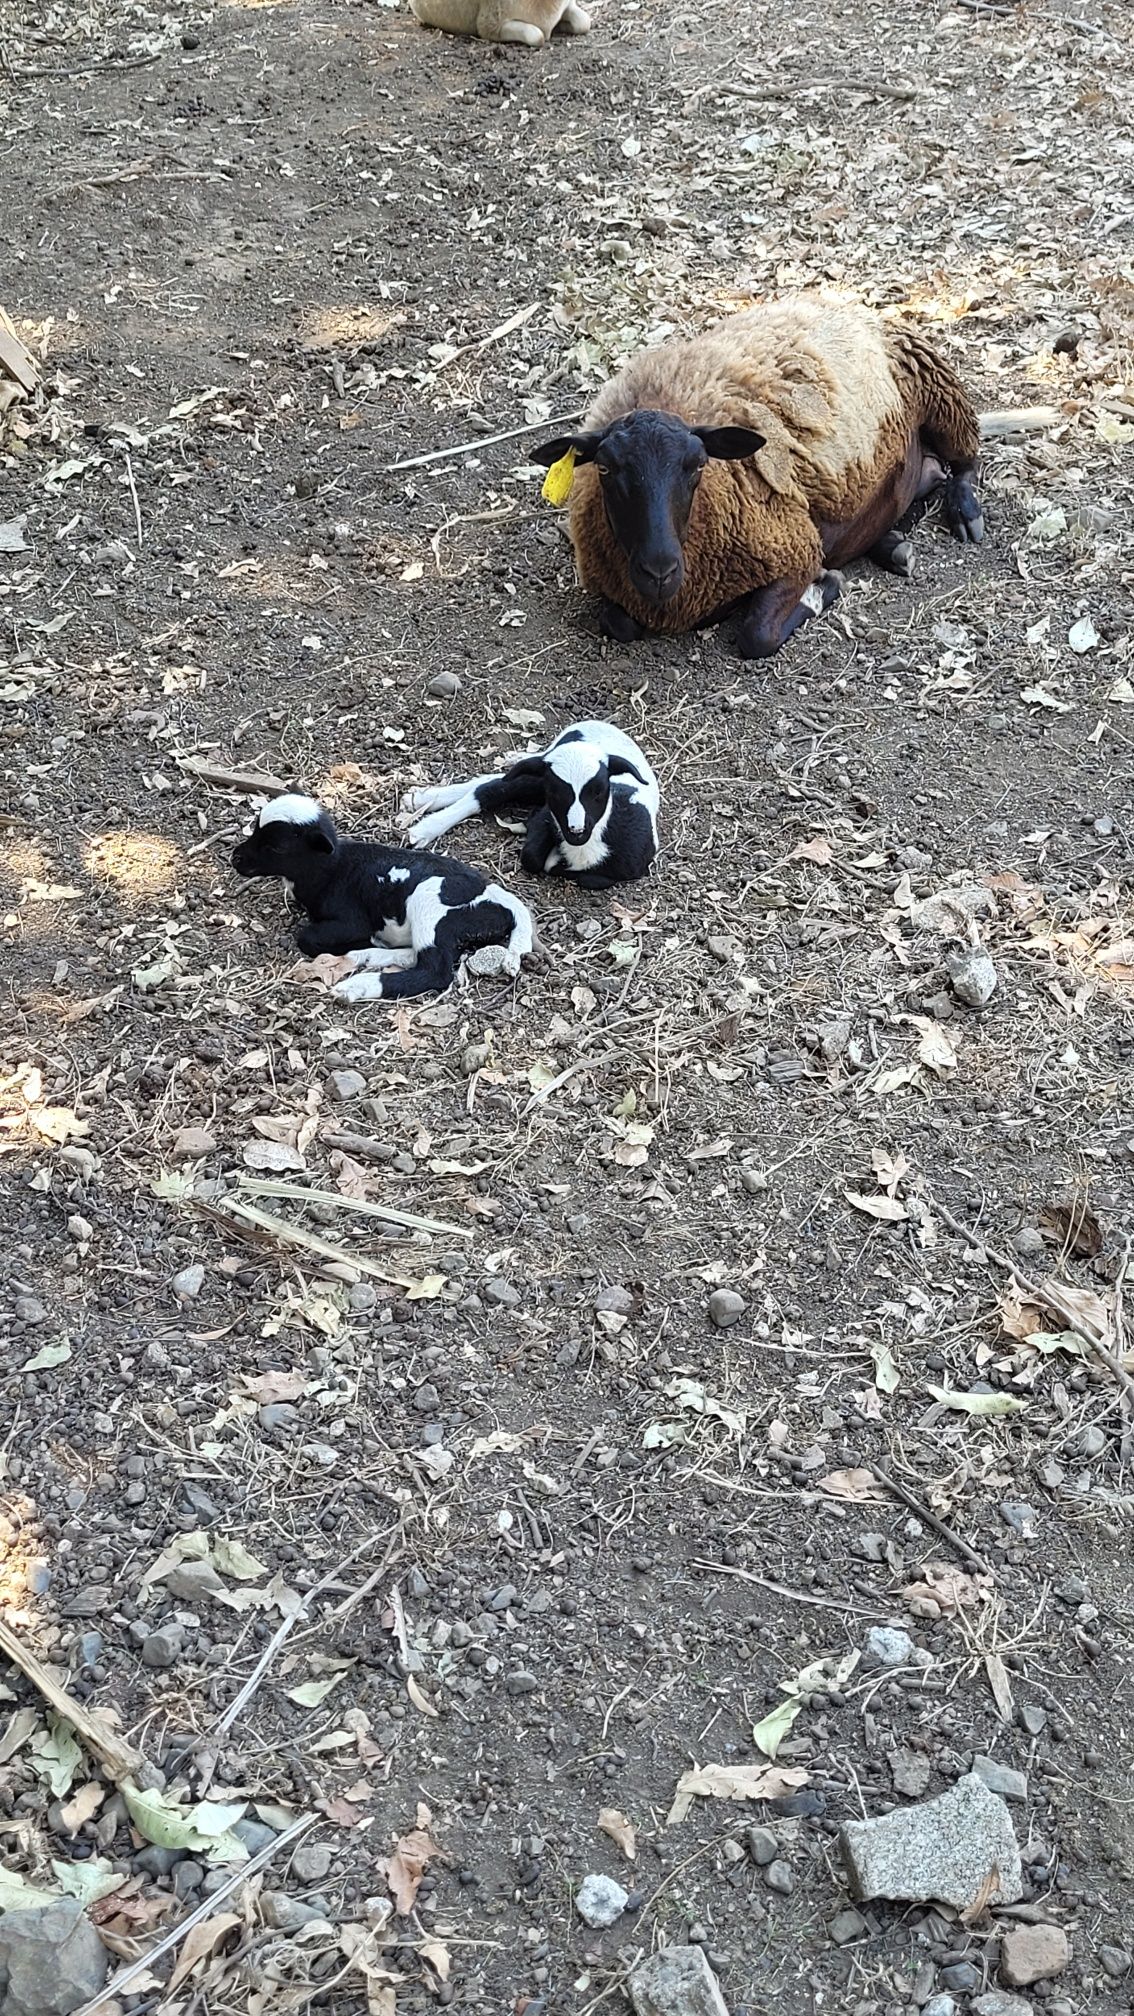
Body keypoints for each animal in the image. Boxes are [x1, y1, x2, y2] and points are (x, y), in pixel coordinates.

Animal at [231, 794, 533, 1002]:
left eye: (277, 847)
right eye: (255, 829)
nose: (236, 858)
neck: (332, 869)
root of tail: (500, 897)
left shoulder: (352, 921)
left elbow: (308, 937)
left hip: (428, 907)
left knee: (434, 971)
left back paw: (356, 985)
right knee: (415, 956)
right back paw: (364, 957)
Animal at [404, 720, 660, 890]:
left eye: (599, 791)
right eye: (555, 791)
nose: (576, 830)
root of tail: (592, 723)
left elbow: (590, 878)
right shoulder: (545, 812)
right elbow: (532, 858)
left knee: (492, 781)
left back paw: (420, 801)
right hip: (538, 775)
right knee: (492, 787)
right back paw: (423, 823)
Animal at [530, 295, 984, 660]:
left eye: (698, 465)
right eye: (605, 468)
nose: (660, 572)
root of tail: (844, 300)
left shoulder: (795, 550)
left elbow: (757, 635)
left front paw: (822, 590)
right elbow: (618, 623)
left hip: (940, 393)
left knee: (965, 462)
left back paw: (965, 514)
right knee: (926, 478)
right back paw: (894, 544)